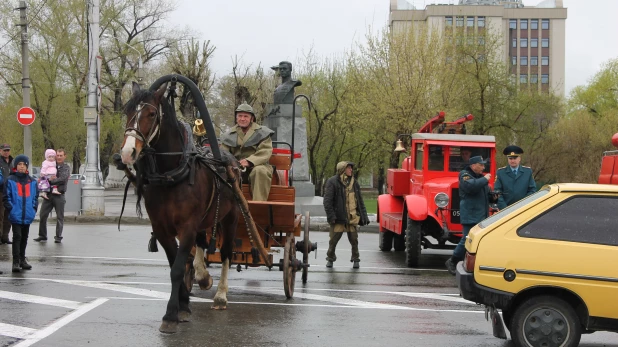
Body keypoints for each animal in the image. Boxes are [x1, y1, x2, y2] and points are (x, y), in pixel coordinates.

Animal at [119, 81, 238, 334]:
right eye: (127, 111)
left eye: (151, 114)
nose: (127, 152)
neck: (170, 176)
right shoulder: (162, 228)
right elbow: (176, 263)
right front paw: (183, 305)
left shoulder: (187, 227)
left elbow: (177, 268)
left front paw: (171, 315)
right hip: (205, 221)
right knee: (201, 245)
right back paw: (203, 277)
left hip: (230, 218)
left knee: (225, 253)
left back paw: (221, 295)